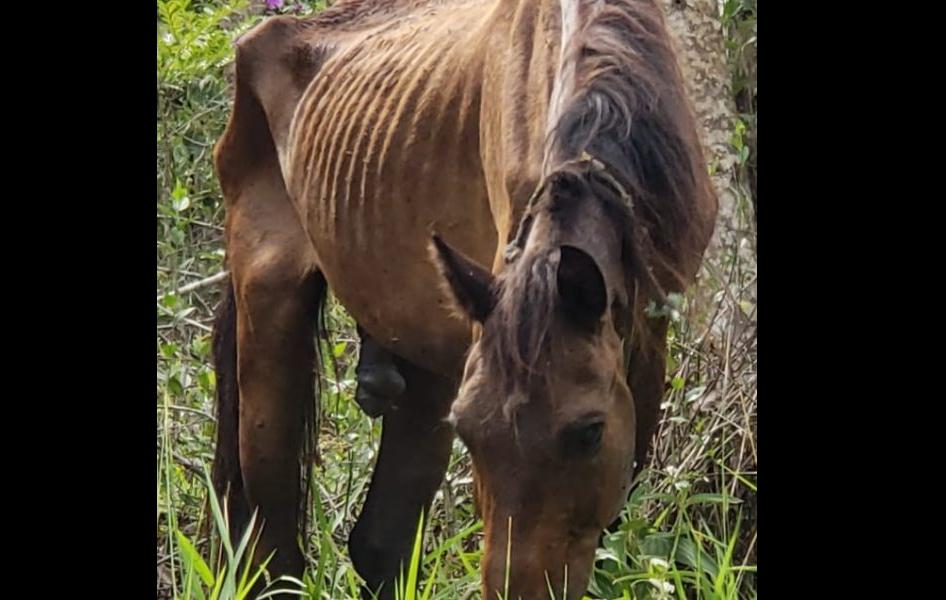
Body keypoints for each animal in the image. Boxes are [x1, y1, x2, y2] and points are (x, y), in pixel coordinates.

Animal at [210, 0, 716, 596]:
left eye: (589, 432)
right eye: (470, 434)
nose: (520, 591)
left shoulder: (647, 333)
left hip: (426, 358)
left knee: (379, 544)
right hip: (269, 313)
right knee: (275, 550)